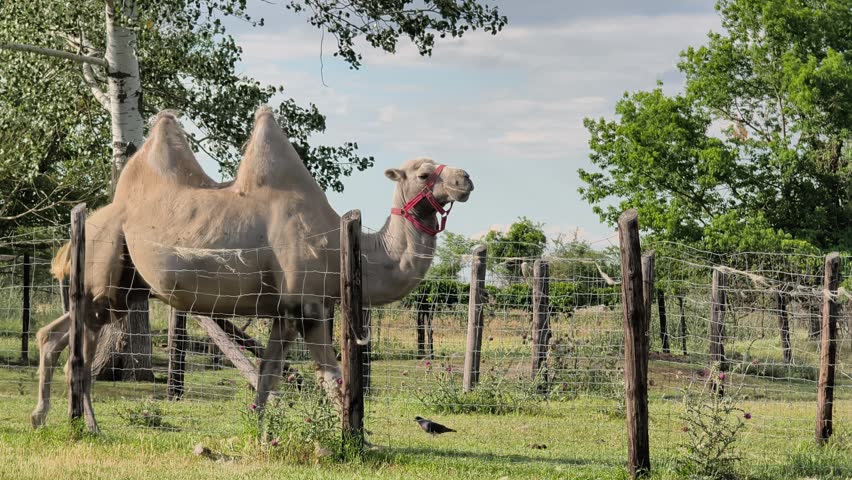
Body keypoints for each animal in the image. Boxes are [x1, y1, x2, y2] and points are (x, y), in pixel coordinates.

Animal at [31, 106, 474, 432]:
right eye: (423, 173)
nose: (465, 178)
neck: (342, 244)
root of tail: (82, 229)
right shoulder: (306, 305)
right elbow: (325, 375)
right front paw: (348, 439)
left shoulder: (287, 309)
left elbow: (273, 371)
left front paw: (262, 429)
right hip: (102, 275)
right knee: (79, 354)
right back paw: (88, 426)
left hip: (119, 289)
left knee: (53, 336)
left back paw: (45, 418)